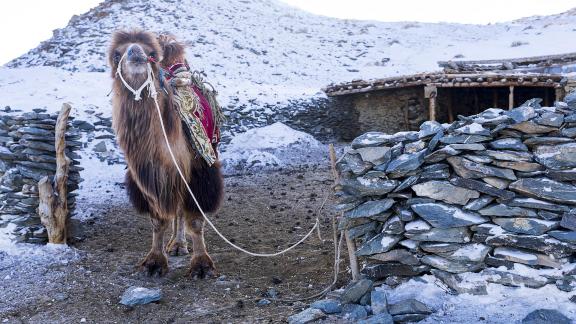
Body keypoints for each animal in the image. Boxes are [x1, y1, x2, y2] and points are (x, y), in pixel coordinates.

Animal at [107, 30, 224, 278]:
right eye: (116, 55)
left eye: (151, 53)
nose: (135, 52)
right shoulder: (148, 178)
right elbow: (158, 221)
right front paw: (154, 262)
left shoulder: (199, 170)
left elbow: (196, 220)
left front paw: (202, 265)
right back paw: (176, 245)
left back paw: (180, 245)